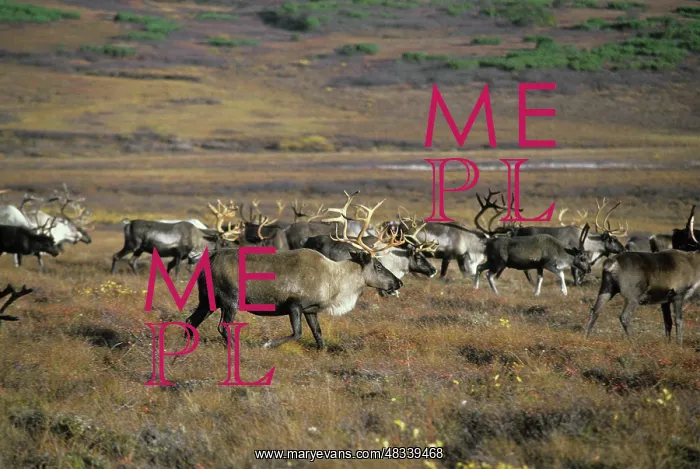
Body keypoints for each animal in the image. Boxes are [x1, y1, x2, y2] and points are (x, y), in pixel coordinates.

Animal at [184, 194, 404, 350]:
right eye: (378, 266)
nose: (398, 283)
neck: (334, 281)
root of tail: (208, 259)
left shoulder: (311, 310)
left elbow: (318, 334)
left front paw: (321, 351)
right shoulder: (294, 304)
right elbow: (297, 333)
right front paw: (268, 344)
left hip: (208, 300)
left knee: (190, 321)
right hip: (230, 300)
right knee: (222, 326)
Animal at [584, 208, 700, 346]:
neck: (693, 264)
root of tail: (611, 263)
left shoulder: (665, 300)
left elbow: (668, 322)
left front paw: (668, 343)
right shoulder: (678, 294)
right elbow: (678, 320)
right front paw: (679, 344)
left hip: (607, 288)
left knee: (595, 311)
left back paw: (585, 338)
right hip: (633, 295)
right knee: (624, 316)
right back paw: (634, 342)